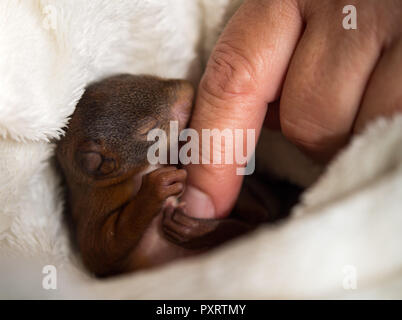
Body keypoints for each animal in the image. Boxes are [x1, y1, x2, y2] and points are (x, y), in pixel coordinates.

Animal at [55, 74, 298, 276]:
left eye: (139, 77)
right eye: (148, 128)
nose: (188, 88)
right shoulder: (95, 204)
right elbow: (101, 250)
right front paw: (156, 189)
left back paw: (198, 230)